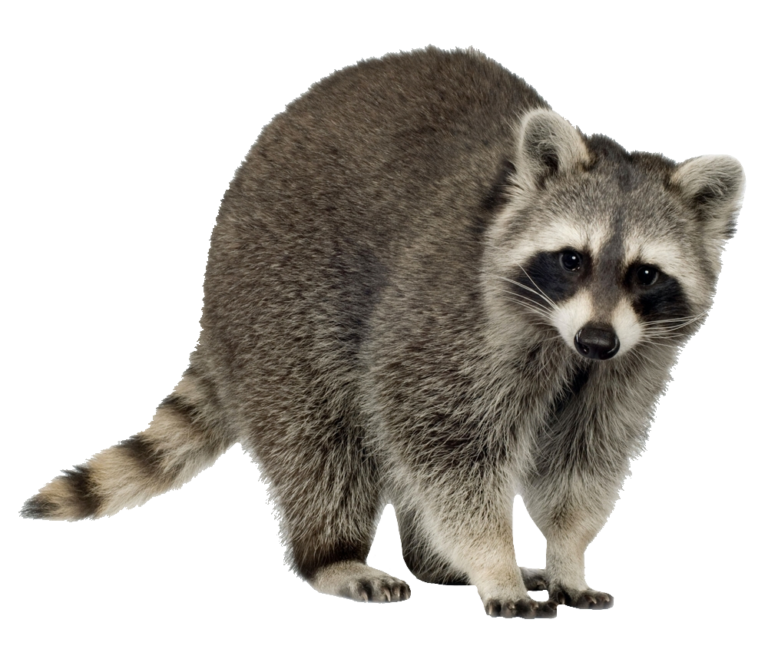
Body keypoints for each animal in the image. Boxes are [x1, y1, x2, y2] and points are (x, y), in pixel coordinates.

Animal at [20, 47, 746, 619]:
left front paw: (567, 555)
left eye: (645, 273)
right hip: (278, 298)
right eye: (572, 259)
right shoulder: (449, 319)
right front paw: (494, 560)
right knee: (321, 437)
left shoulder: (633, 361)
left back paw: (433, 560)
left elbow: (582, 458)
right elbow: (447, 444)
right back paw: (335, 554)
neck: (561, 335)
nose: (596, 341)